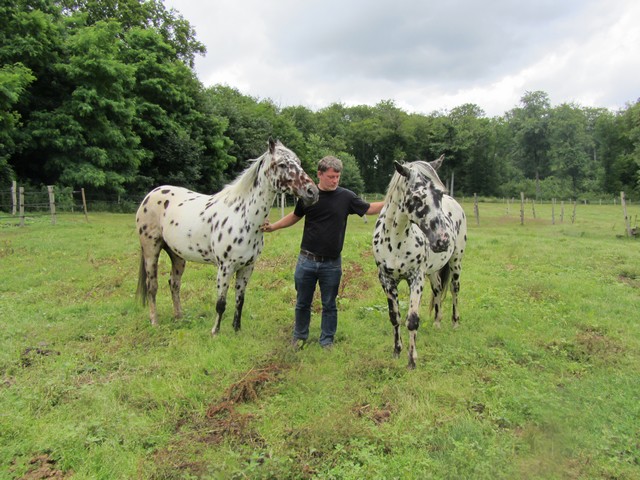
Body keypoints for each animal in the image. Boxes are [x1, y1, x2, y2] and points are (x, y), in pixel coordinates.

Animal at [136, 138, 319, 334]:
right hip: (151, 251)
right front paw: (215, 332)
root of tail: (151, 194)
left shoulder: (247, 267)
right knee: (152, 286)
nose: (312, 192)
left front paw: (236, 329)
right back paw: (154, 322)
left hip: (177, 255)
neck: (243, 217)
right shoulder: (225, 268)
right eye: (282, 164)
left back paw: (179, 317)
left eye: (299, 163)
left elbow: (240, 300)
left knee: (174, 283)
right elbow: (221, 303)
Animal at [372, 156, 467, 369]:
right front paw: (397, 351)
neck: (396, 240)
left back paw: (455, 323)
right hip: (432, 271)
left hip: (455, 262)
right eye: (416, 198)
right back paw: (437, 323)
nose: (442, 241)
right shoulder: (386, 280)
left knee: (455, 290)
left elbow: (412, 319)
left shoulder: (416, 278)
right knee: (438, 289)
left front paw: (411, 361)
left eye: (440, 193)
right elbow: (395, 317)